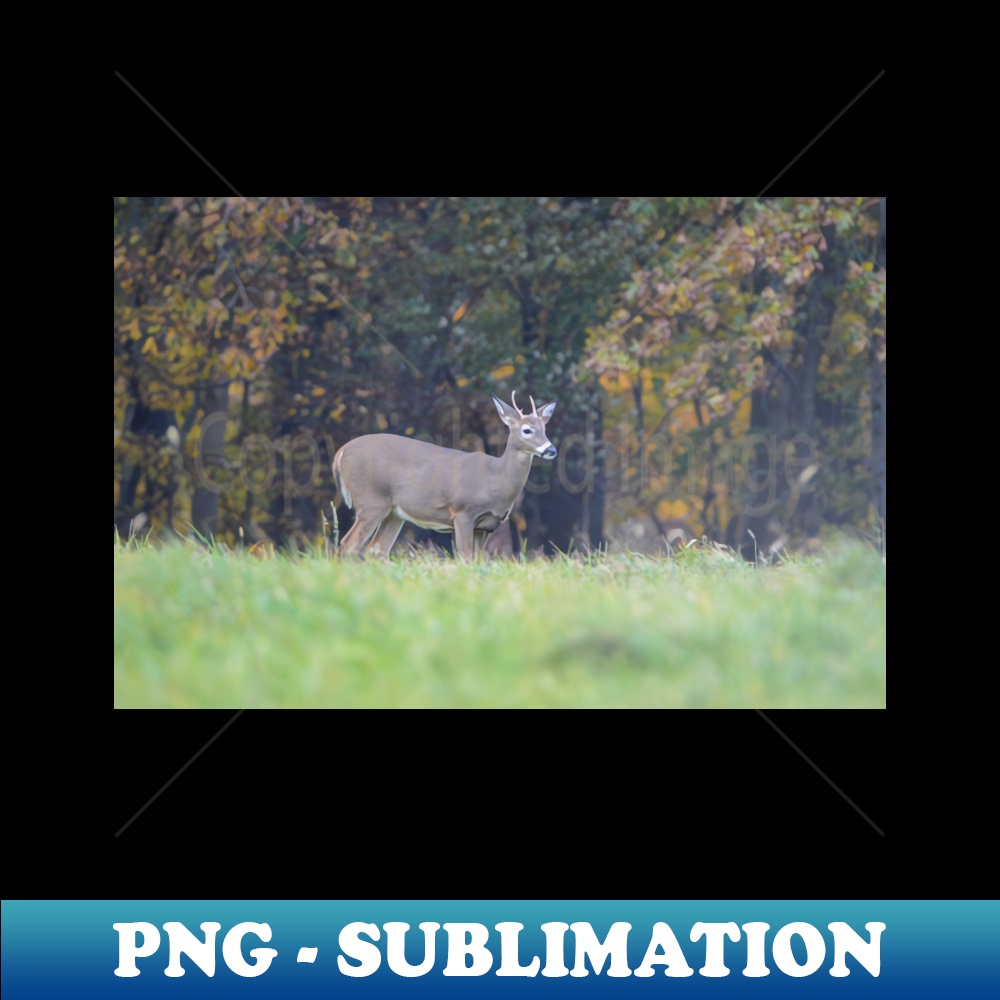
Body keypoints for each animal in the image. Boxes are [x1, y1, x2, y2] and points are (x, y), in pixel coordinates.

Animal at [332, 392, 557, 560]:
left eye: (545, 429)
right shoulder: (463, 511)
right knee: (349, 544)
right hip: (371, 500)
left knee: (376, 550)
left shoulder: (485, 526)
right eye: (527, 430)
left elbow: (479, 560)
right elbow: (466, 558)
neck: (496, 477)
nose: (551, 449)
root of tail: (340, 453)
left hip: (393, 512)